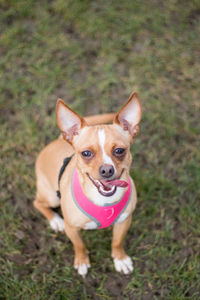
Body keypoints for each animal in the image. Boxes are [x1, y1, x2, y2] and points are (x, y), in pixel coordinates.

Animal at [33, 91, 142, 276]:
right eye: (86, 153)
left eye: (119, 150)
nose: (107, 170)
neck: (103, 199)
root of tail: (59, 140)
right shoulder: (72, 228)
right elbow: (79, 245)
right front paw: (82, 261)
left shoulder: (124, 221)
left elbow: (117, 242)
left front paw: (120, 259)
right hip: (51, 197)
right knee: (37, 203)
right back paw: (55, 220)